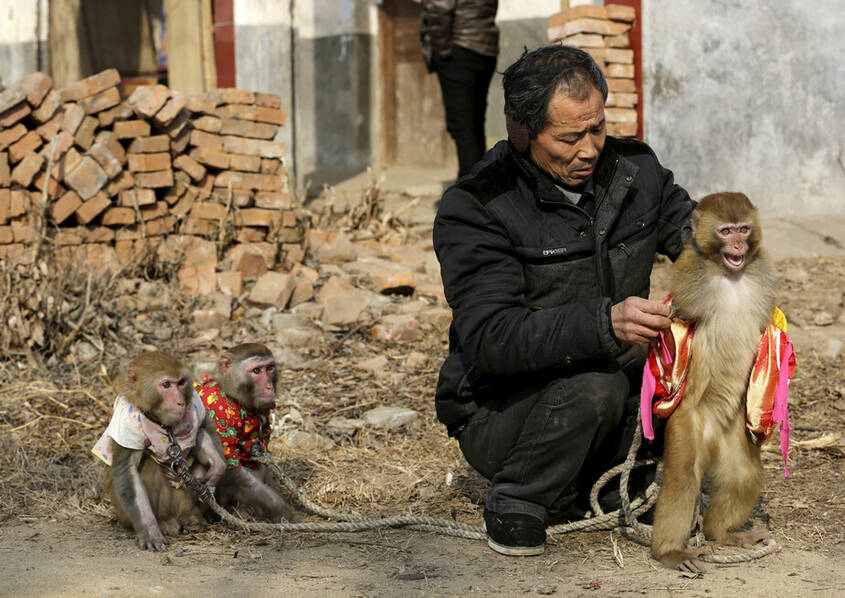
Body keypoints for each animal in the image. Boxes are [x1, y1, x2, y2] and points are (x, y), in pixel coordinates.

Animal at [92, 352, 226, 552]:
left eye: (181, 383)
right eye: (166, 384)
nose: (180, 402)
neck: (161, 423)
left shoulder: (195, 403)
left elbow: (200, 430)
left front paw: (218, 466)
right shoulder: (127, 425)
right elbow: (128, 471)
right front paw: (150, 531)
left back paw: (191, 517)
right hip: (126, 515)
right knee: (150, 467)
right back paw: (164, 523)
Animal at [194, 344, 300, 524]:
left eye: (269, 368)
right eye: (256, 371)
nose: (269, 387)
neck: (233, 397)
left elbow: (261, 455)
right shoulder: (217, 414)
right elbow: (230, 469)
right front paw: (282, 510)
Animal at [648, 195, 792, 576]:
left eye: (743, 228)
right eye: (725, 232)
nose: (739, 246)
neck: (731, 276)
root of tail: (712, 439)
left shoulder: (762, 277)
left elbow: (770, 333)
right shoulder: (688, 281)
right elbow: (674, 328)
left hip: (734, 435)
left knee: (745, 473)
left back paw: (720, 533)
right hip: (688, 427)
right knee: (682, 479)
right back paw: (668, 551)